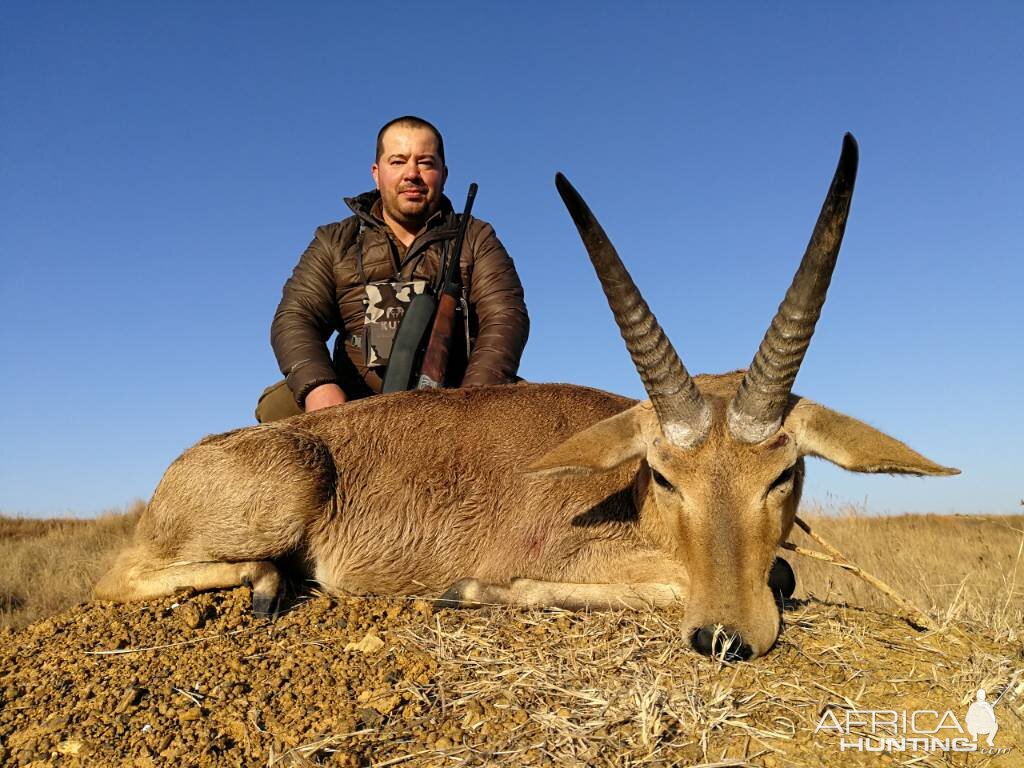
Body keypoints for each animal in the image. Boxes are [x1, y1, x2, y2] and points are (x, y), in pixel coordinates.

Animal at [97, 134, 958, 663]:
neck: (627, 493)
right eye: (666, 476)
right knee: (117, 578)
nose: (726, 637)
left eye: (784, 475)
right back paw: (270, 582)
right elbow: (695, 579)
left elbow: (780, 571)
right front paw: (468, 590)